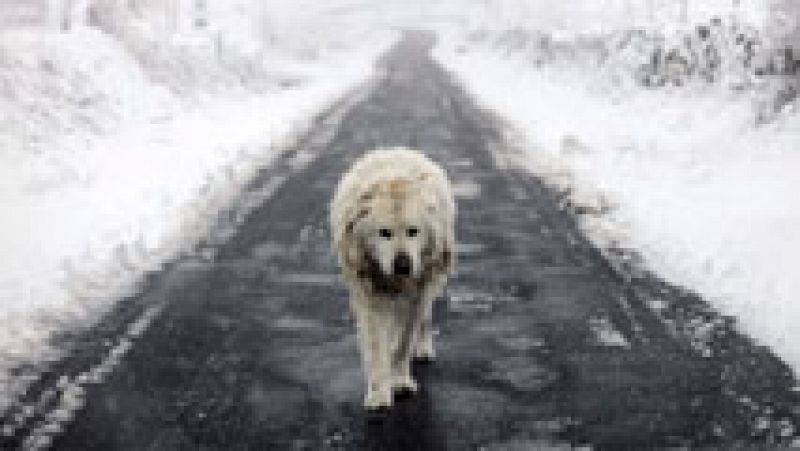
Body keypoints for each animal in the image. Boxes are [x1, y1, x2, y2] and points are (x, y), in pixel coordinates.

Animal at [332, 147, 456, 410]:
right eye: (384, 233)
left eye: (413, 231)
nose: (403, 266)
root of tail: (397, 149)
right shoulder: (369, 292)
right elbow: (376, 344)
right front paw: (379, 393)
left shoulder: (417, 290)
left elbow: (405, 340)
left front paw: (400, 381)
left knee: (424, 317)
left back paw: (423, 348)